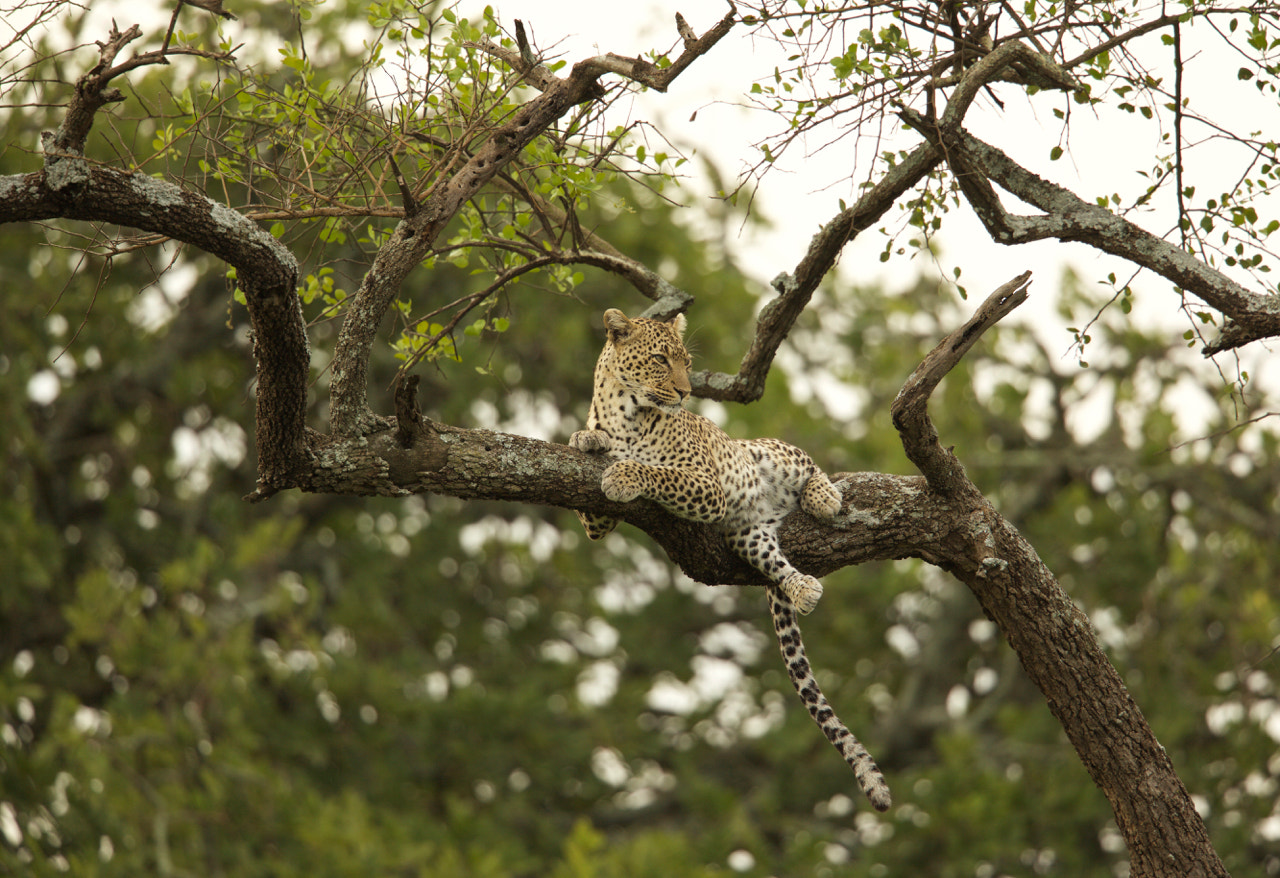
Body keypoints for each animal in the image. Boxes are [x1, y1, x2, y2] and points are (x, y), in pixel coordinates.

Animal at [569, 308, 891, 812]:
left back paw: (824, 498)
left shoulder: (708, 485)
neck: (625, 412)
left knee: (805, 461)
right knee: (775, 564)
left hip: (766, 455)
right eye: (660, 360)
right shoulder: (597, 523)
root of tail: (774, 512)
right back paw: (803, 588)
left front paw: (623, 474)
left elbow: (655, 472)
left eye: (686, 362)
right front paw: (587, 438)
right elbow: (593, 473)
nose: (685, 393)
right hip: (745, 534)